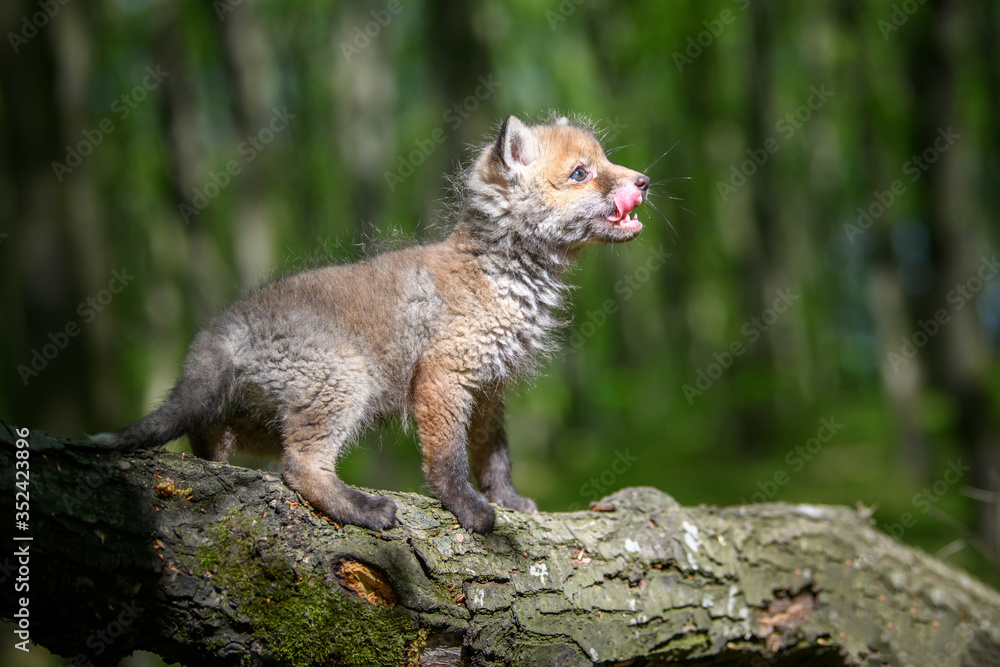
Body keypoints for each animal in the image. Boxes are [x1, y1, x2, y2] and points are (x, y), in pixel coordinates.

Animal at [95, 113, 648, 532]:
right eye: (580, 173)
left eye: (604, 161)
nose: (642, 182)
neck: (505, 277)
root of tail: (226, 323)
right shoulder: (444, 377)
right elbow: (447, 460)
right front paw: (468, 510)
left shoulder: (489, 390)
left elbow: (494, 457)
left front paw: (507, 501)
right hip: (343, 384)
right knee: (300, 468)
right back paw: (364, 508)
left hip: (262, 416)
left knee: (211, 434)